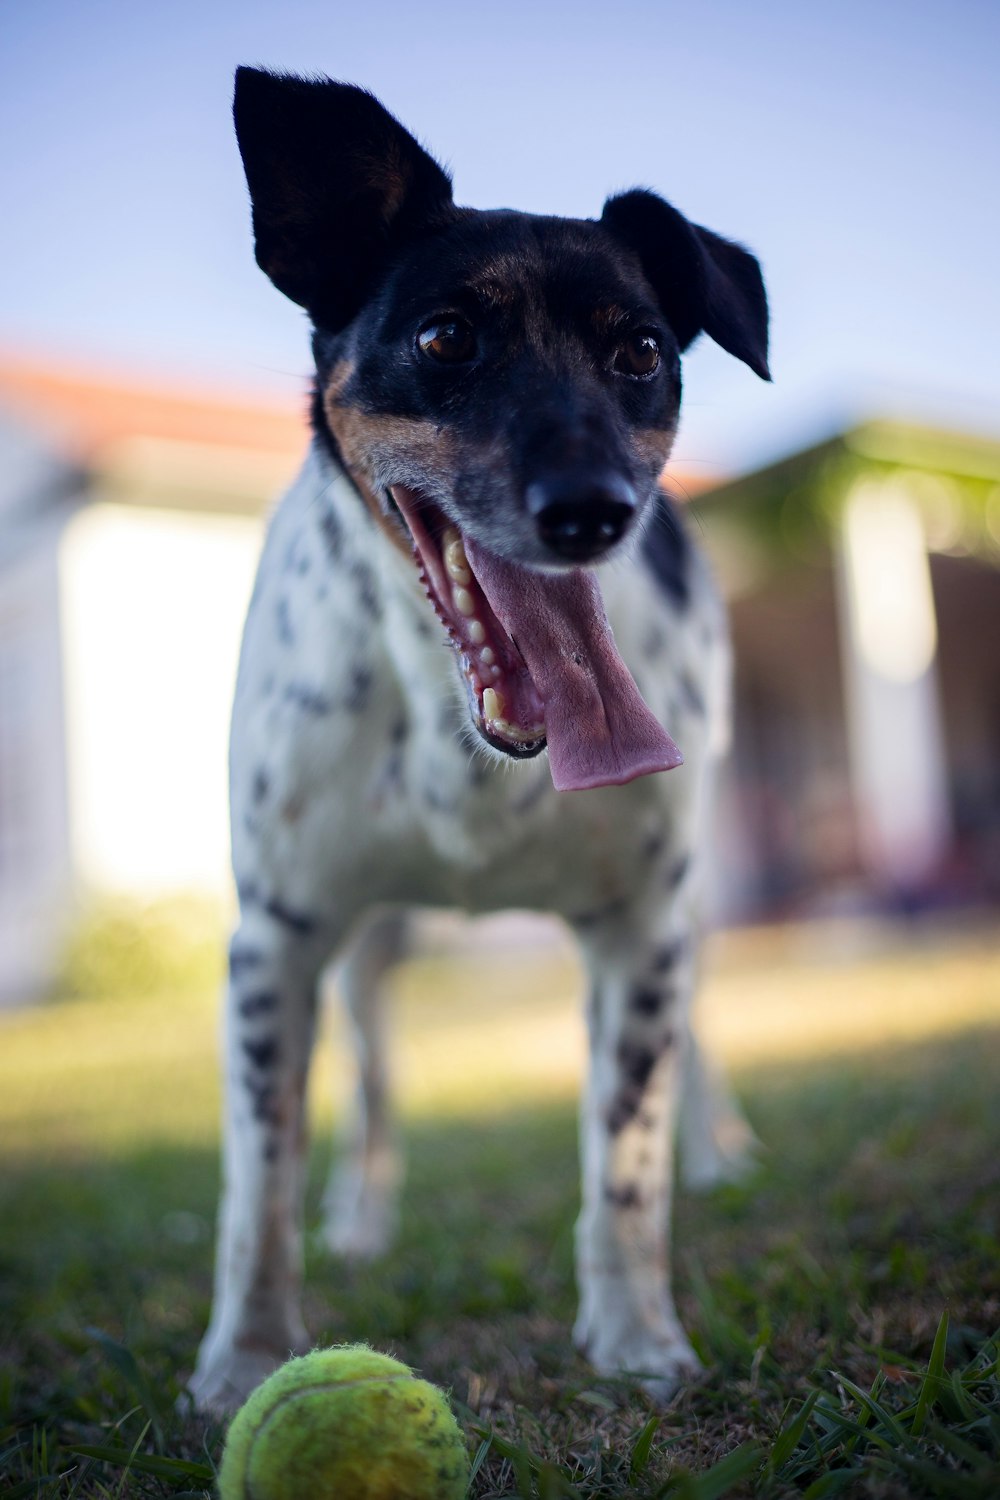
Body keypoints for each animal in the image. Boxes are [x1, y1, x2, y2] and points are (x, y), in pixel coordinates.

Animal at [187, 64, 773, 1410]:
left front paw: (637, 1338)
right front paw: (244, 1362)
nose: (594, 510)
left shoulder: (637, 931)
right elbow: (257, 1183)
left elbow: (625, 1163)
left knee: (699, 1035)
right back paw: (363, 1217)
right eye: (446, 337)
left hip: (693, 903)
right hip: (364, 947)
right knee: (373, 1082)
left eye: (640, 351)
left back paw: (720, 1144)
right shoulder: (278, 938)